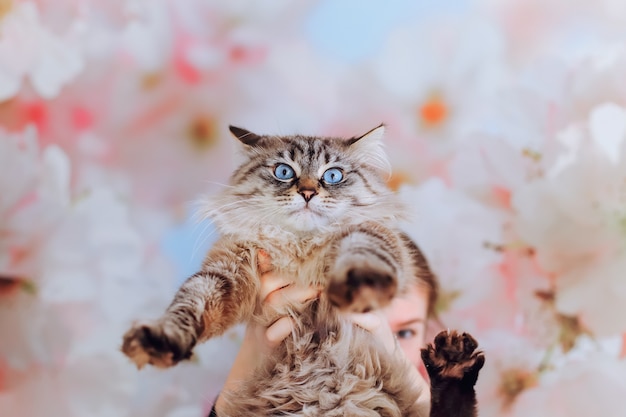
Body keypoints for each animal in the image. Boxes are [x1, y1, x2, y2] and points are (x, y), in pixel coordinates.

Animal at [122, 125, 482, 414]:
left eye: (333, 175)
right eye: (284, 171)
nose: (308, 192)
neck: (301, 247)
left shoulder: (371, 236)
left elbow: (365, 256)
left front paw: (359, 287)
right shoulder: (226, 268)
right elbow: (188, 304)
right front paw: (160, 340)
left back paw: (452, 360)